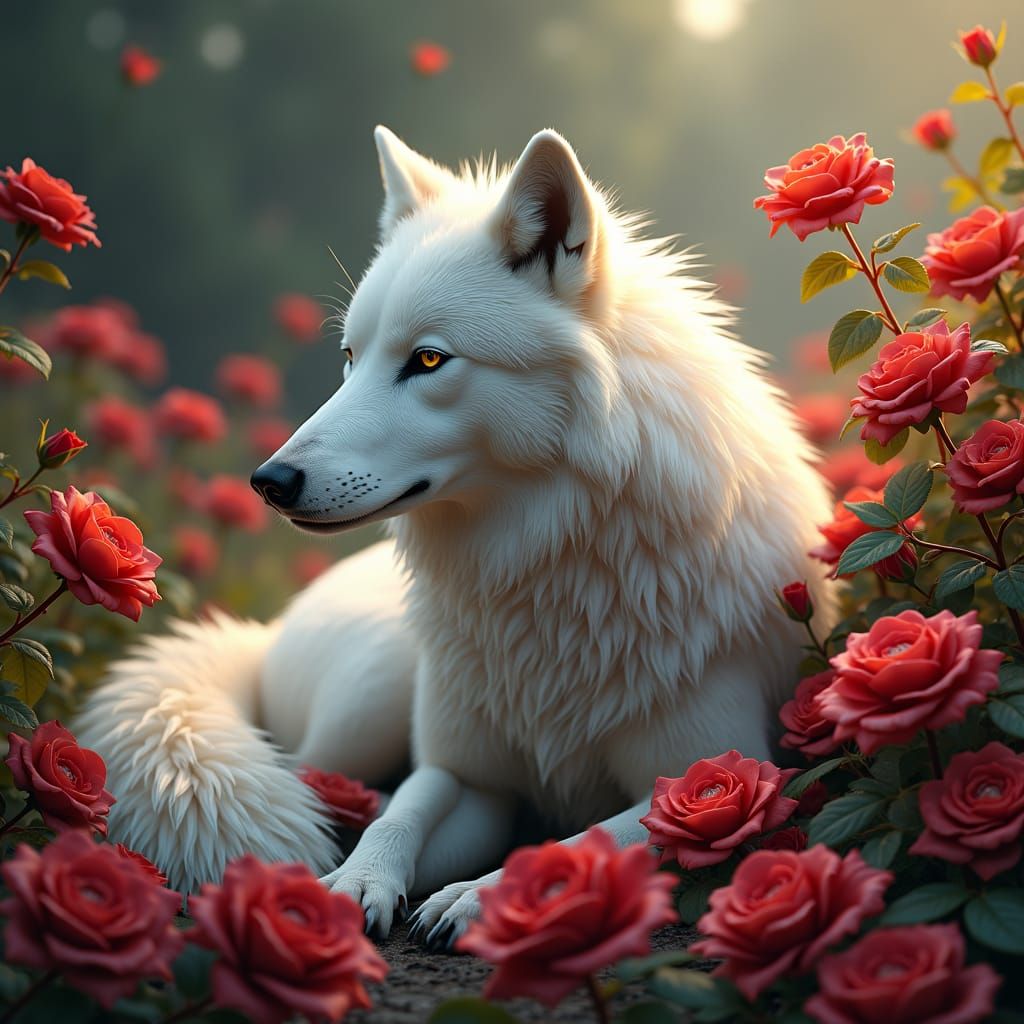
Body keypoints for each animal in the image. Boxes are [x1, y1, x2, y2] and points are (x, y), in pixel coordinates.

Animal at [77, 126, 837, 944]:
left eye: (429, 359)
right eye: (350, 357)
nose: (269, 481)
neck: (546, 573)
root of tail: (264, 627)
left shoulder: (712, 781)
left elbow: (588, 838)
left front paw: (481, 894)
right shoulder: (466, 775)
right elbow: (401, 817)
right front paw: (355, 885)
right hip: (373, 693)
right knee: (304, 779)